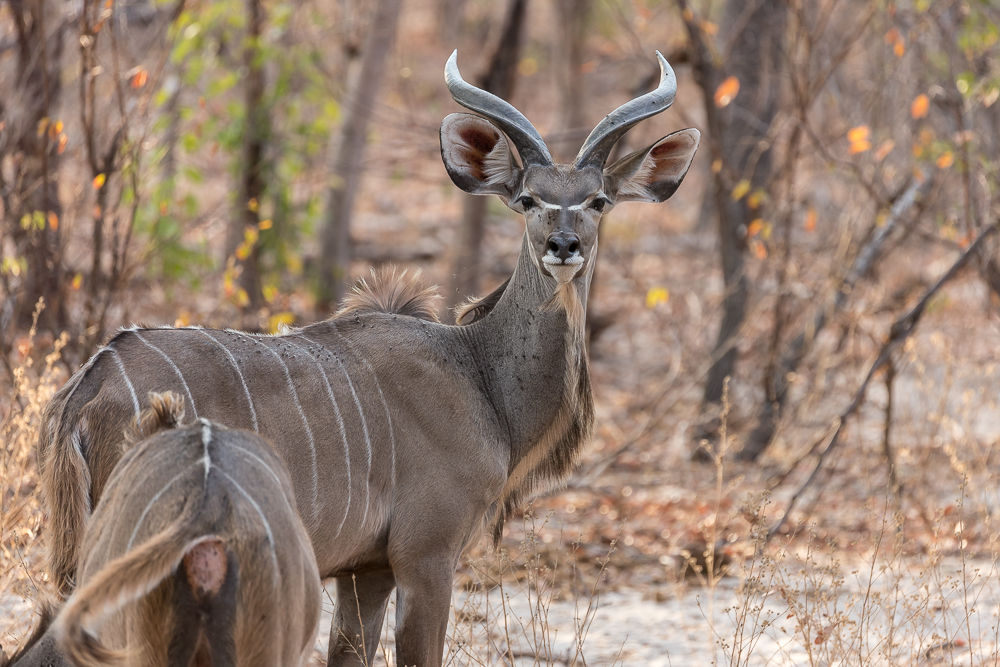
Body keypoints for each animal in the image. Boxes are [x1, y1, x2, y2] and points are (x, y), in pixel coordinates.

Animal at [37, 51, 696, 664]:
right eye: (530, 199)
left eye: (599, 200)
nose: (564, 246)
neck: (479, 375)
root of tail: (88, 390)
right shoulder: (425, 555)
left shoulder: (366, 571)